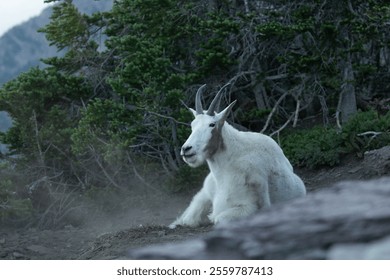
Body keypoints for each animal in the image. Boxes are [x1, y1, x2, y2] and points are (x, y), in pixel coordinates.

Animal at [169, 84, 306, 229]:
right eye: (192, 124)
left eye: (212, 124)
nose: (186, 149)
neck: (224, 172)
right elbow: (188, 219)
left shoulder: (252, 207)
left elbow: (218, 219)